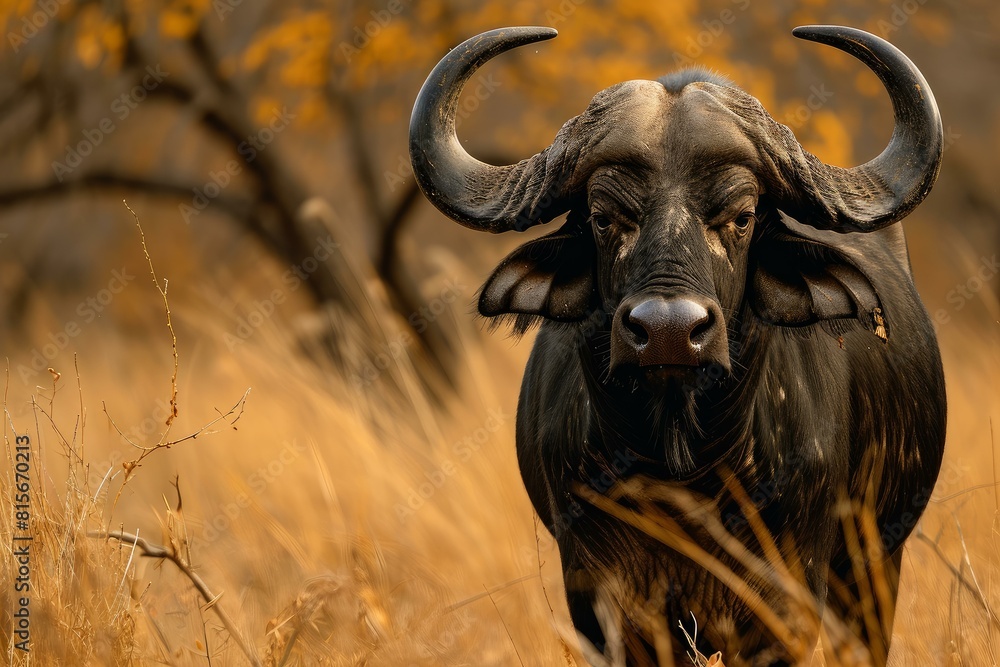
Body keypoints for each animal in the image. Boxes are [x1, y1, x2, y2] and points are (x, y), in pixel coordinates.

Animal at [409, 25, 946, 666]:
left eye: (741, 216)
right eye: (603, 217)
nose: (669, 331)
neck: (681, 468)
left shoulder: (785, 603)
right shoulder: (601, 599)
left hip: (875, 567)